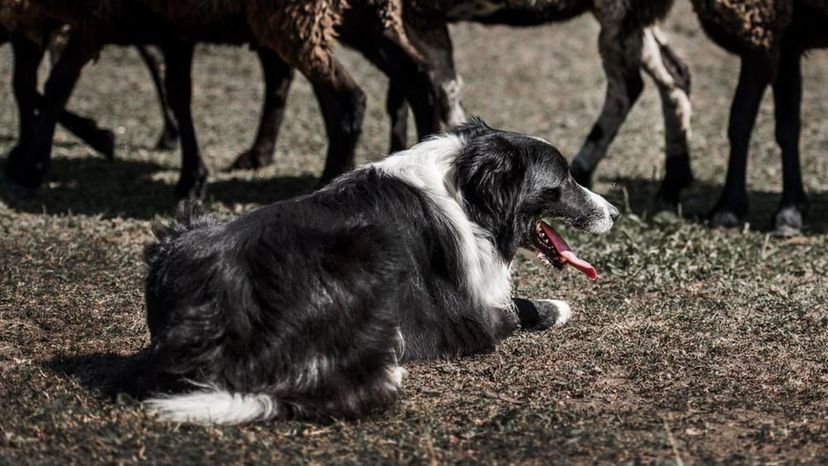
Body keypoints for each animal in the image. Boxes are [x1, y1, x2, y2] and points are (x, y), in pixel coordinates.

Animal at [142, 119, 616, 422]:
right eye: (565, 179)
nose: (614, 212)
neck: (469, 193)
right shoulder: (468, 318)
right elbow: (518, 310)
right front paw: (559, 306)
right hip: (361, 250)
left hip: (186, 227)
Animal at [688, 0, 824, 235]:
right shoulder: (784, 42)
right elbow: (785, 127)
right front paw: (793, 208)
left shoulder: (761, 29)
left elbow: (741, 121)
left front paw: (728, 208)